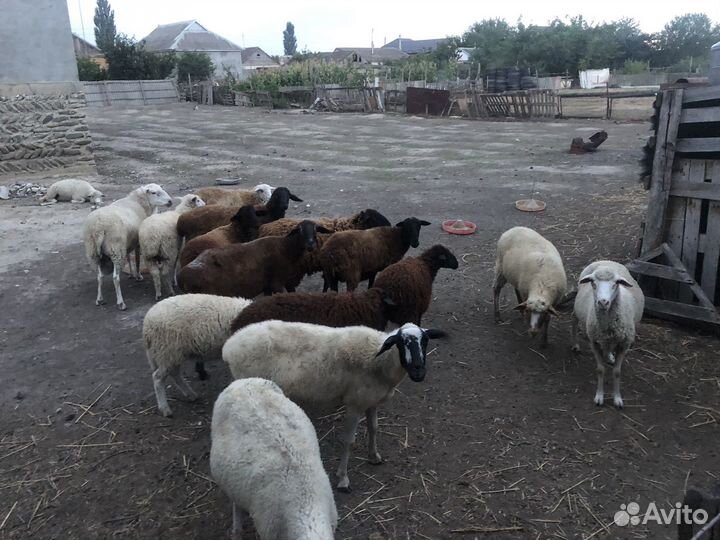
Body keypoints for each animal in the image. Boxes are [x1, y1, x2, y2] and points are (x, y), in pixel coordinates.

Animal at [177, 220, 329, 298]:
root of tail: (182, 277)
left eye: (316, 230)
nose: (311, 245)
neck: (286, 248)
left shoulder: (270, 286)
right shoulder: (277, 283)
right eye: (300, 230)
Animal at [223, 321, 446, 492]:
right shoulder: (355, 403)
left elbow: (374, 428)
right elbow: (348, 441)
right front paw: (343, 479)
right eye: (401, 343)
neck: (380, 361)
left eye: (425, 341)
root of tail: (230, 346)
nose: (418, 372)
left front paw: (374, 456)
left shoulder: (371, 400)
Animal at [571, 261, 644, 409]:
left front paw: (617, 398)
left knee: (609, 346)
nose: (603, 302)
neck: (607, 324)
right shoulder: (594, 342)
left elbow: (616, 372)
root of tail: (605, 261)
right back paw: (575, 345)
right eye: (593, 282)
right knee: (574, 321)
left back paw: (609, 356)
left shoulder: (624, 344)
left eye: (616, 283)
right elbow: (600, 369)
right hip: (577, 310)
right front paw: (599, 397)